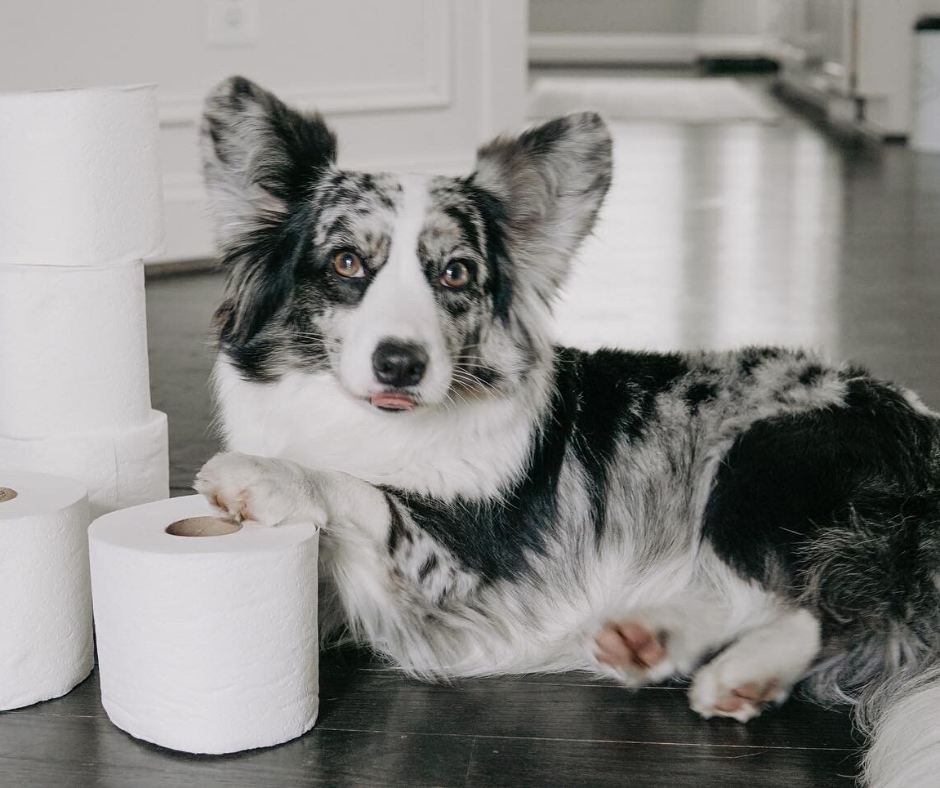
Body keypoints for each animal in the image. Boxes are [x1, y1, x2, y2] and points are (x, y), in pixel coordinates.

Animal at [195, 75, 940, 788]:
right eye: (347, 262)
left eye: (456, 272)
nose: (401, 364)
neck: (365, 423)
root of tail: (920, 426)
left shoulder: (466, 563)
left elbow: (360, 491)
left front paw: (260, 476)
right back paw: (653, 639)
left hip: (758, 467)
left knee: (826, 603)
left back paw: (742, 670)